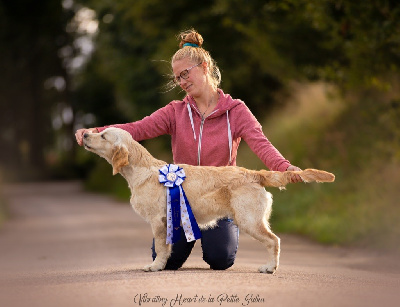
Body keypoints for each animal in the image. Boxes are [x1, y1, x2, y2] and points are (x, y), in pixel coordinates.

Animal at [83, 127, 334, 274]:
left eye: (103, 136)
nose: (84, 134)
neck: (141, 169)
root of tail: (254, 173)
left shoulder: (158, 221)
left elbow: (162, 248)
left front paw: (155, 266)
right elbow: (168, 248)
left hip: (249, 221)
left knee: (274, 241)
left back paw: (270, 267)